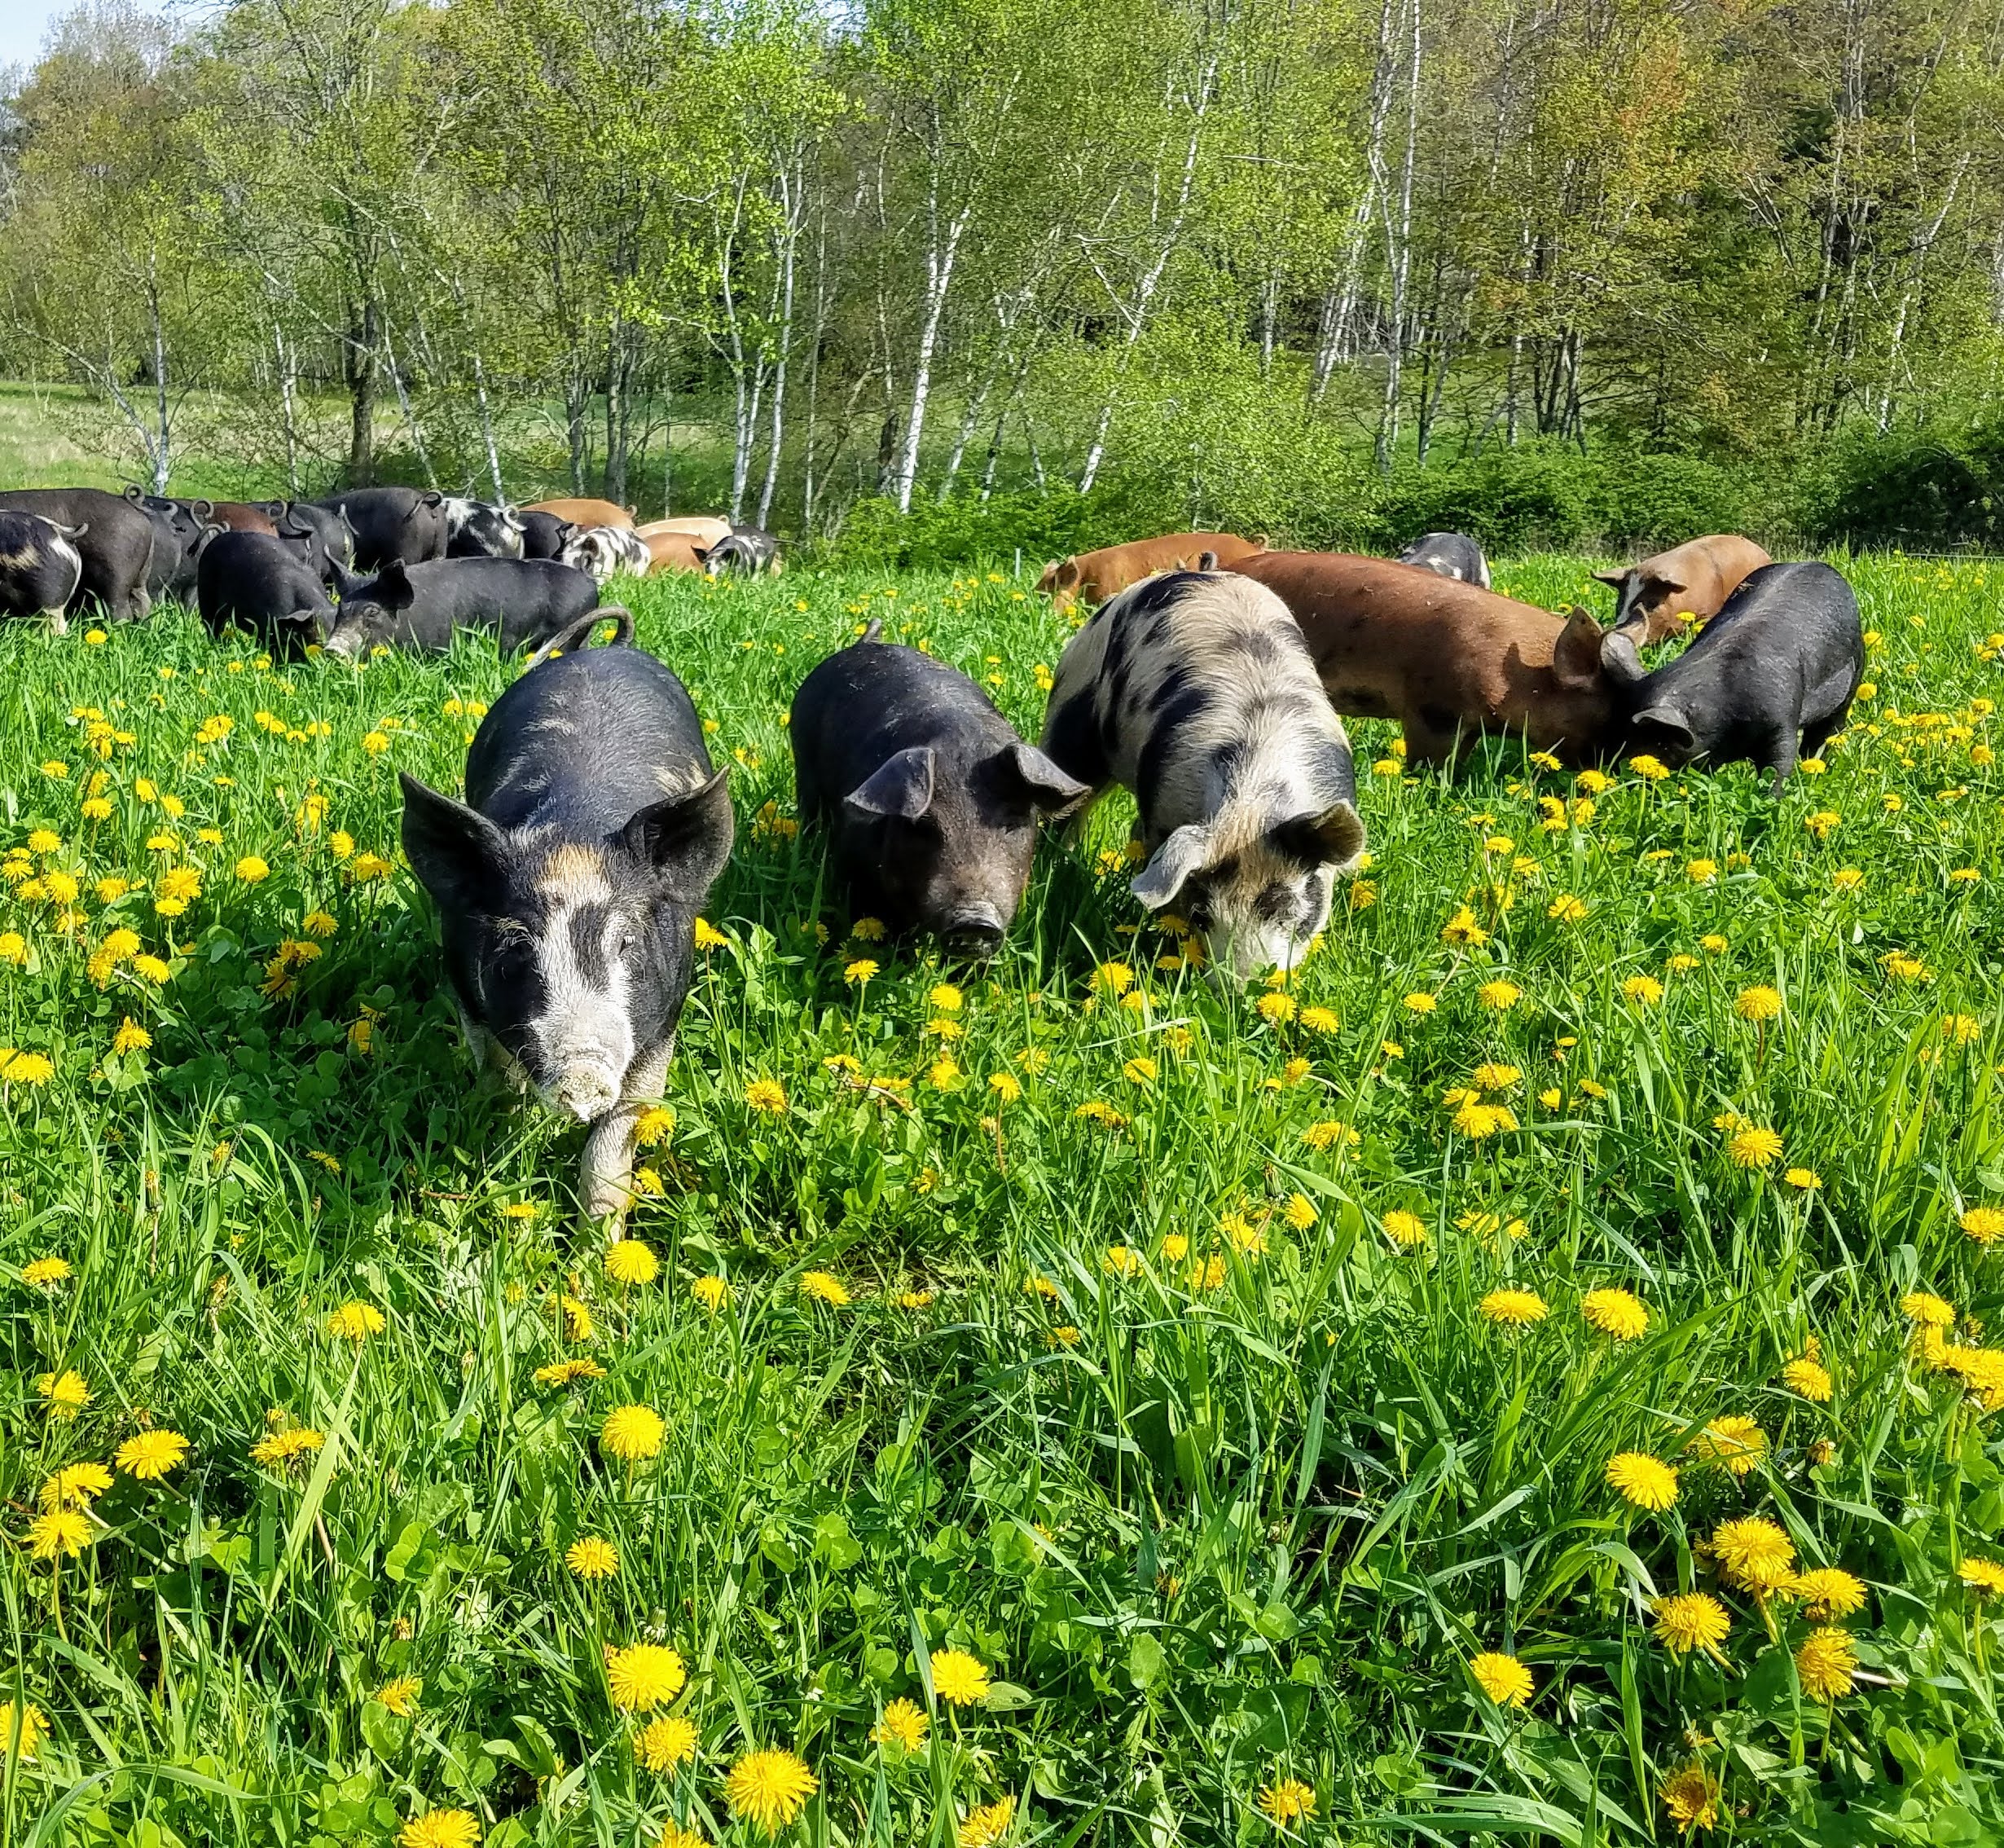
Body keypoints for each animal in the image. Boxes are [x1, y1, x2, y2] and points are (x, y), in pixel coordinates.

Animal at [399, 645, 734, 1227]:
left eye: (627, 944)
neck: (574, 834)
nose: (582, 1073)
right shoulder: (465, 989)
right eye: (515, 952)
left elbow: (615, 1144)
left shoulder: (663, 1021)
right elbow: (498, 1077)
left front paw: (599, 1244)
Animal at [1598, 561, 1863, 791]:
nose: (1614, 777)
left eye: (1646, 744)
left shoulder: (1782, 720)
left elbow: (1779, 767)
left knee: (1825, 733)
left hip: (1853, 678)